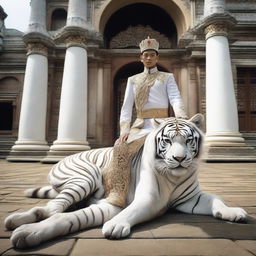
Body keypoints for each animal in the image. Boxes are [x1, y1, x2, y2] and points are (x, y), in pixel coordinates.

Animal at [5, 113, 247, 248]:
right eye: (168, 141)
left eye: (188, 140)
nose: (179, 159)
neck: (173, 177)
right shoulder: (146, 200)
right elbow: (69, 217)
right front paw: (29, 233)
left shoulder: (191, 199)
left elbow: (216, 198)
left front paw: (233, 212)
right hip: (84, 178)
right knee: (54, 207)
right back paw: (16, 220)